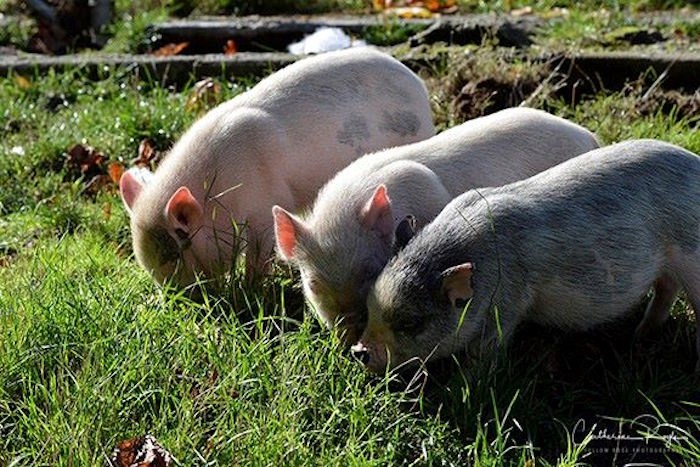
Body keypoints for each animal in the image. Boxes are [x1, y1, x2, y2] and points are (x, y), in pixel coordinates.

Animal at [121, 48, 438, 288]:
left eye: (176, 252)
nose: (181, 299)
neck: (218, 190)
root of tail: (420, 88)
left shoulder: (264, 205)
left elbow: (259, 252)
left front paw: (252, 287)